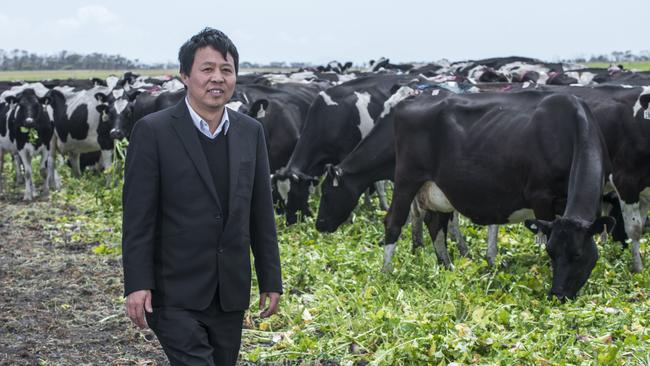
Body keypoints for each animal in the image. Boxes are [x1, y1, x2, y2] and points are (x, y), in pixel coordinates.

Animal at [272, 72, 410, 223]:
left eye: (294, 194)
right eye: (279, 196)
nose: (290, 221)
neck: (329, 118)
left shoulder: (348, 153)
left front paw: (351, 217)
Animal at [384, 90, 612, 298]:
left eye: (578, 255)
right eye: (552, 252)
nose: (557, 294)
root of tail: (409, 101)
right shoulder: (541, 197)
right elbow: (542, 237)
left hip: (437, 191)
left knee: (435, 224)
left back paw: (448, 269)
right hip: (407, 178)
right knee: (393, 221)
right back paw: (386, 273)